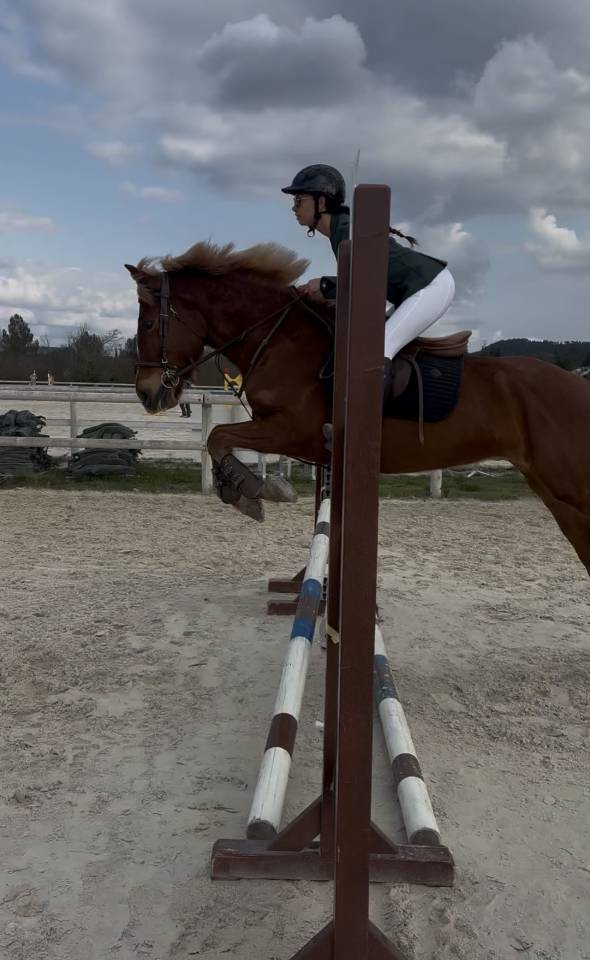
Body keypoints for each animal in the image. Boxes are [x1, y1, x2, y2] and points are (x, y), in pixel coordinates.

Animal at [127, 240, 590, 577]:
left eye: (148, 324)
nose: (147, 394)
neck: (281, 340)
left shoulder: (293, 431)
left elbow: (217, 435)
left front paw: (254, 491)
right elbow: (219, 439)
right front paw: (242, 489)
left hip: (567, 484)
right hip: (553, 491)